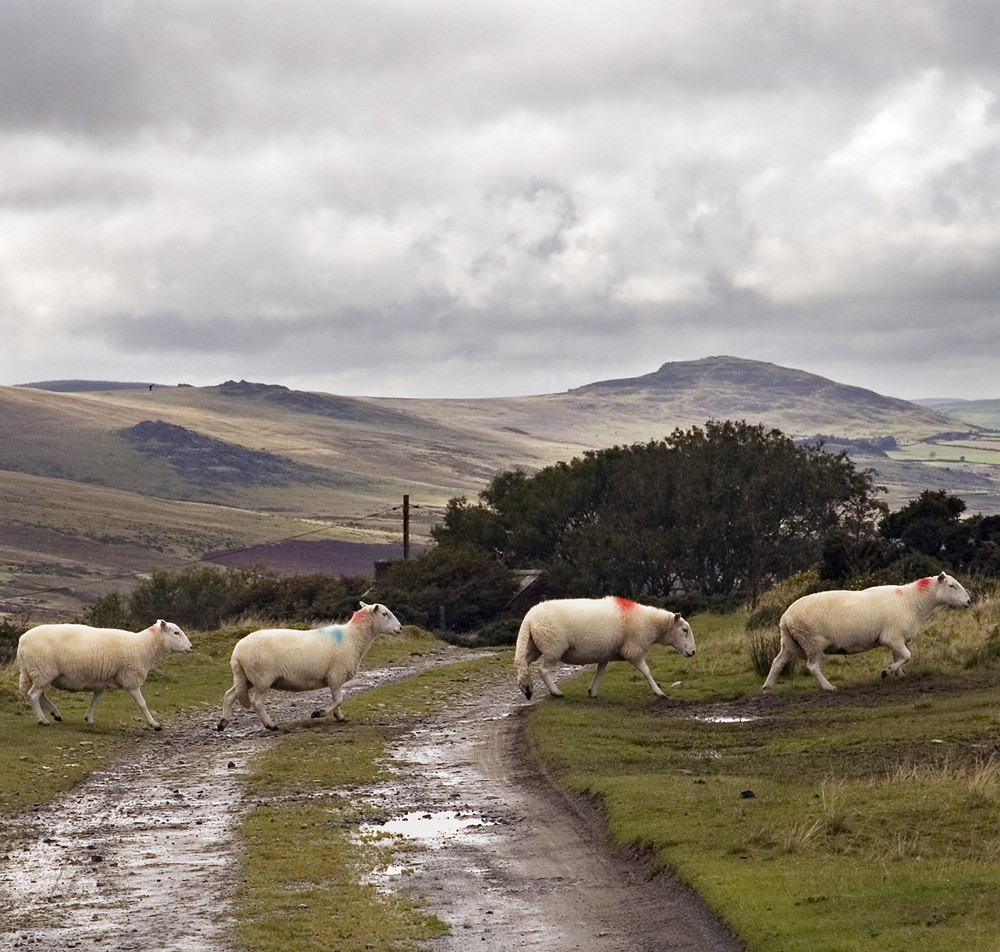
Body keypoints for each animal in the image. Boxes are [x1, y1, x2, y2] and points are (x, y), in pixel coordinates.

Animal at [17, 616, 193, 728]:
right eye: (176, 632)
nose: (190, 647)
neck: (144, 645)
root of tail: (22, 641)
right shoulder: (130, 679)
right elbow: (142, 703)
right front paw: (154, 723)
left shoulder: (100, 680)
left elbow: (97, 699)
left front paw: (88, 718)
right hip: (43, 670)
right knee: (33, 695)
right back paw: (42, 720)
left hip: (32, 672)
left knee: (33, 694)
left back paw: (55, 713)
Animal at [218, 600, 402, 732]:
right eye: (385, 614)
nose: (400, 628)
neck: (354, 637)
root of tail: (236, 654)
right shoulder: (335, 676)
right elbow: (339, 699)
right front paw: (318, 713)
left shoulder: (335, 678)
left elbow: (338, 701)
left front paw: (340, 717)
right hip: (262, 678)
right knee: (256, 702)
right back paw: (270, 725)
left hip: (245, 678)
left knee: (229, 695)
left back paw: (223, 723)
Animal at [516, 596, 696, 700]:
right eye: (684, 630)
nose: (693, 652)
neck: (651, 624)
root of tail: (529, 618)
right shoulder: (634, 650)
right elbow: (647, 672)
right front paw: (659, 692)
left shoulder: (605, 653)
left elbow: (600, 672)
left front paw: (592, 691)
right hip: (553, 647)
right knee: (543, 669)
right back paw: (556, 692)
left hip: (533, 646)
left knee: (522, 664)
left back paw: (526, 688)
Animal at [764, 572, 968, 692]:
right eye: (951, 586)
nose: (968, 601)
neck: (912, 601)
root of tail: (785, 618)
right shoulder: (893, 637)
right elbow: (906, 656)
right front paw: (887, 672)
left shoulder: (897, 637)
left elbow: (899, 657)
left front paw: (900, 675)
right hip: (812, 641)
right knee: (812, 666)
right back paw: (828, 686)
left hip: (790, 643)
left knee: (777, 662)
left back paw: (768, 687)